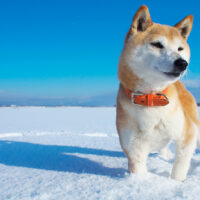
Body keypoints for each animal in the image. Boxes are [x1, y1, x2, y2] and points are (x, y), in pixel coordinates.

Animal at [116, 4, 199, 180]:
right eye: (157, 44)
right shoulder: (133, 148)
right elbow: (139, 171)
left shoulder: (187, 134)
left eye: (180, 48)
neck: (150, 98)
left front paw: (176, 182)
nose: (183, 63)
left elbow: (180, 168)